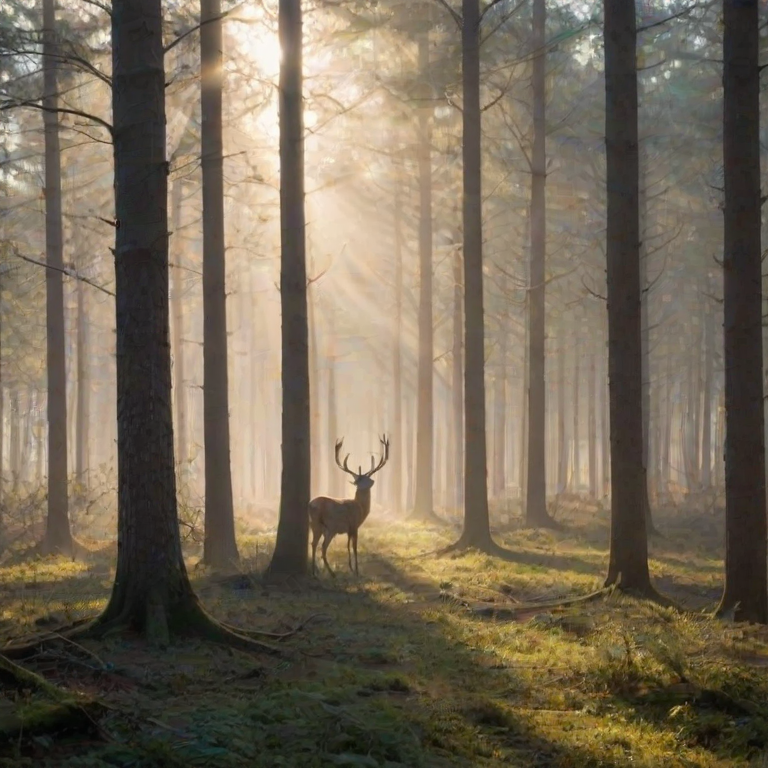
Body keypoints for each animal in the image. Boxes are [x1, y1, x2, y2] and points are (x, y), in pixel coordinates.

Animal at [308, 434, 390, 577]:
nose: (360, 484)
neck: (361, 509)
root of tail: (309, 504)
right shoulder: (354, 525)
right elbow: (354, 547)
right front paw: (356, 570)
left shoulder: (347, 529)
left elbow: (347, 545)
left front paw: (351, 568)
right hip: (322, 525)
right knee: (318, 545)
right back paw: (322, 572)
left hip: (322, 527)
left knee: (318, 546)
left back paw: (323, 572)